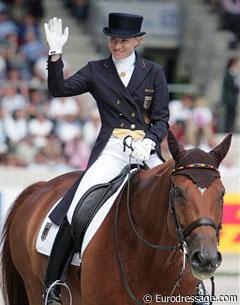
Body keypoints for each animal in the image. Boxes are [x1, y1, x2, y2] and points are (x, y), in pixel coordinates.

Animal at [0, 132, 232, 304]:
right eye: (178, 192)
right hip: (33, 286)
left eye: (222, 193)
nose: (206, 259)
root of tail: (41, 187)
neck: (153, 259)